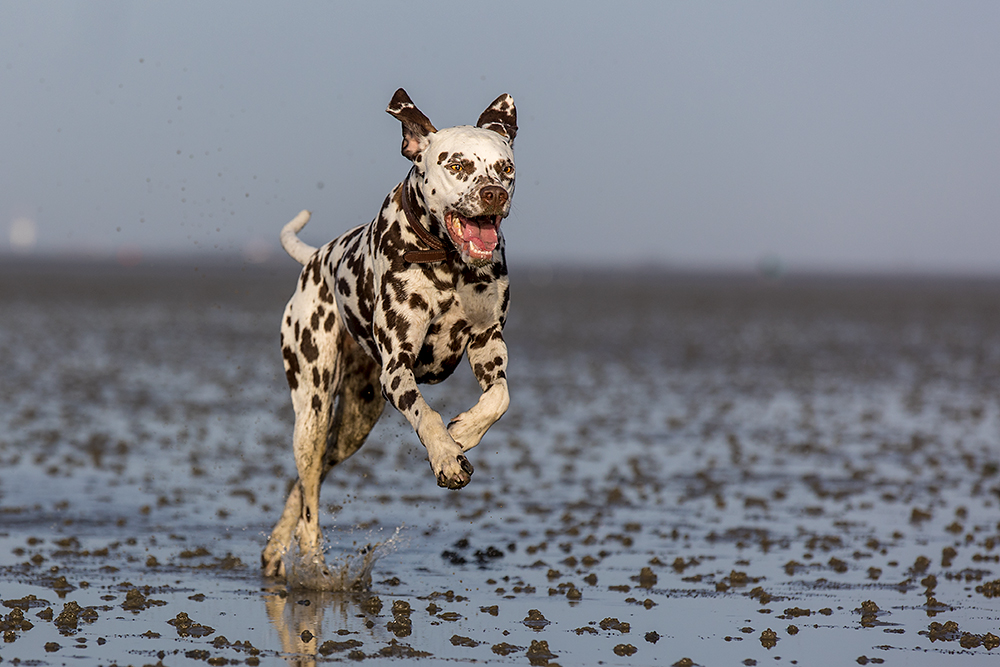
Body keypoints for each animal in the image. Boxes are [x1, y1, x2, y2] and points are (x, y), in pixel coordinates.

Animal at [262, 90, 520, 580]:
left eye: (506, 168)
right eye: (457, 165)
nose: (493, 194)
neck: (447, 262)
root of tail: (315, 259)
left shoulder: (488, 343)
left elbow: (499, 397)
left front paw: (465, 432)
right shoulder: (397, 368)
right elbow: (426, 414)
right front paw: (445, 456)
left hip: (352, 427)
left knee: (305, 484)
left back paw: (274, 549)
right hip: (312, 412)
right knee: (309, 494)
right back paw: (312, 561)